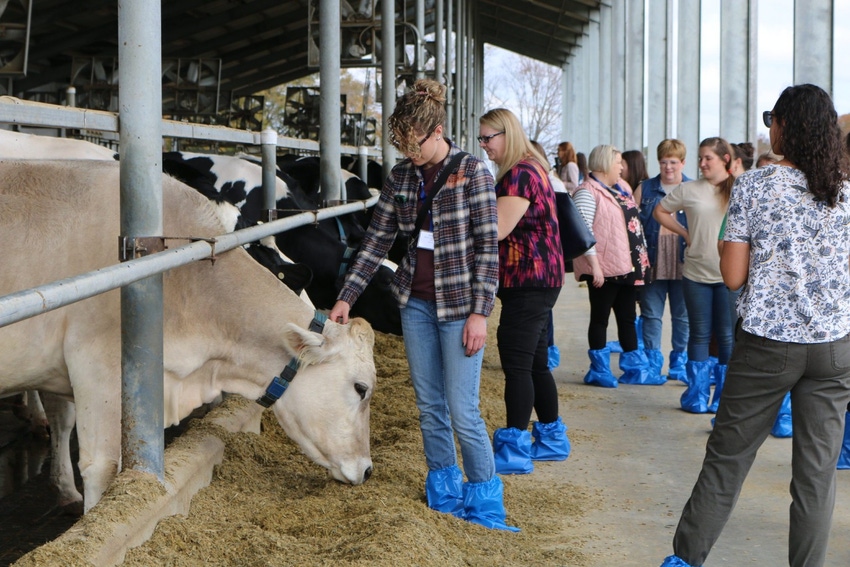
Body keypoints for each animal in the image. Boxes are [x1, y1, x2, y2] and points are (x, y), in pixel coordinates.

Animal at [0, 158, 374, 512]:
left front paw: (65, 490)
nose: (368, 470)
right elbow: (101, 469)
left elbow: (63, 421)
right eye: (361, 388)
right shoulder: (96, 367)